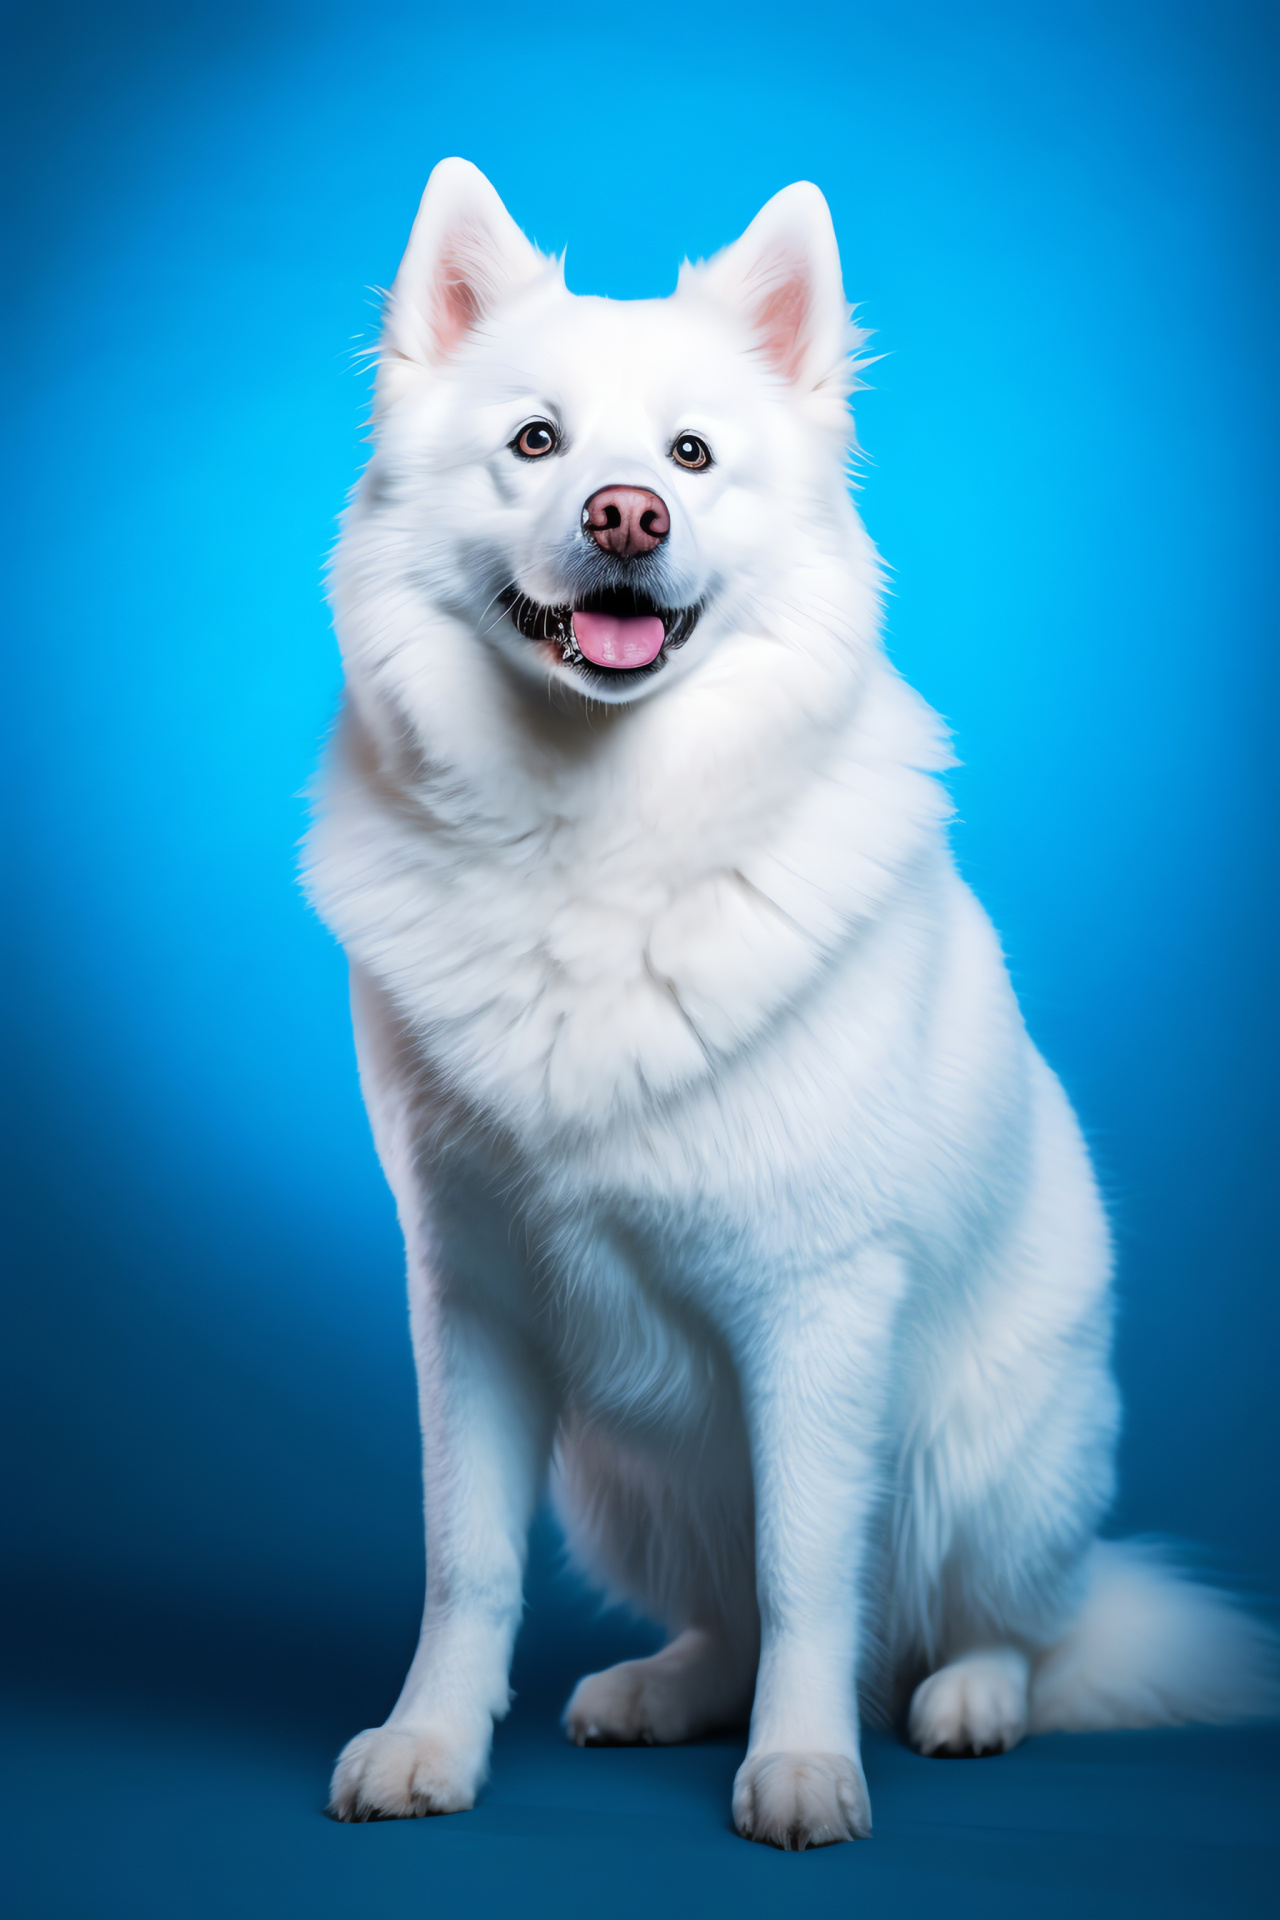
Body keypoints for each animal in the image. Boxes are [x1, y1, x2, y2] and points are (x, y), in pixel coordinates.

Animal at [305, 161, 1274, 1843]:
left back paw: (963, 1702)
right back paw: (667, 1687)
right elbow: (466, 1559)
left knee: (993, 1623)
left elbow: (812, 1567)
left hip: (992, 1461)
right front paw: (430, 1745)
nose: (629, 514)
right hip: (618, 1481)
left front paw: (807, 1767)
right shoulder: (471, 1296)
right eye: (538, 443)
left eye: (692, 456)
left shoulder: (815, 1303)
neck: (593, 836)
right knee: (727, 1613)